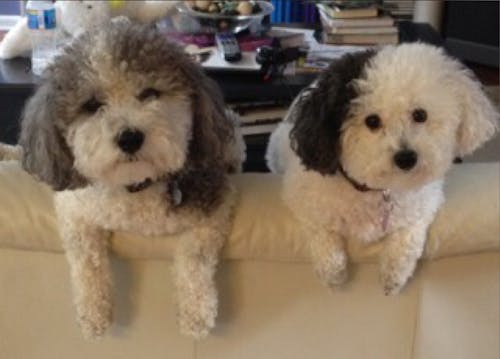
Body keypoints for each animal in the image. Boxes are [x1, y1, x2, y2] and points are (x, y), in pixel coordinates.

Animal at [18, 21, 245, 342]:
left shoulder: (215, 204)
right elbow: (85, 257)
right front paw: (93, 314)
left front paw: (196, 314)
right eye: (92, 105)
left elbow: (194, 255)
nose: (129, 138)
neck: (135, 186)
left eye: (150, 93)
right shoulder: (73, 208)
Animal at [266, 43, 496, 296]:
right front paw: (333, 274)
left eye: (420, 115)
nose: (406, 158)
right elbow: (322, 234)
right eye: (372, 121)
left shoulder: (424, 205)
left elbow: (407, 239)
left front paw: (393, 276)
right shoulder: (301, 200)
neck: (377, 190)